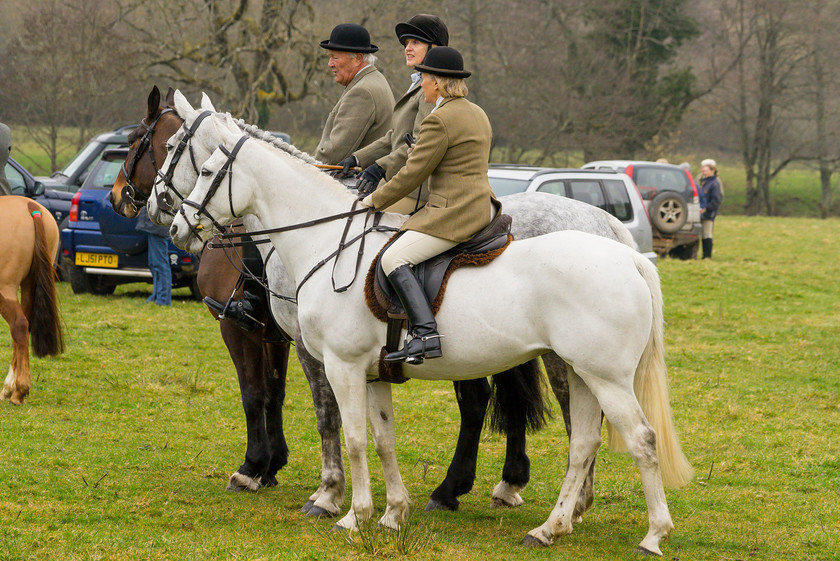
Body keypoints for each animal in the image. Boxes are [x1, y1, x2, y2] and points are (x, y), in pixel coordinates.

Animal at [0, 196, 64, 402]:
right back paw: (9, 388)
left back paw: (20, 389)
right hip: (30, 284)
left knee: (19, 326)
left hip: (5, 289)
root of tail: (31, 206)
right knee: (24, 327)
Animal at [167, 111, 692, 552]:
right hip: (581, 373)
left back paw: (652, 535)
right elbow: (383, 439)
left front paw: (348, 513)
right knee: (582, 442)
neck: (326, 241)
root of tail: (622, 251)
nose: (173, 228)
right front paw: (392, 515)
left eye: (204, 169)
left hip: (604, 378)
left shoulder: (339, 365)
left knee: (641, 440)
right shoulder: (372, 374)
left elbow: (349, 435)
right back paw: (551, 527)